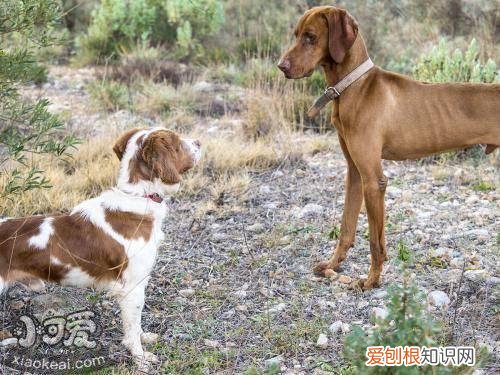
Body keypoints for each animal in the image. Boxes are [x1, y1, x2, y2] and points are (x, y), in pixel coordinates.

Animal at [0, 129, 201, 368]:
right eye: (178, 142)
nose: (199, 142)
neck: (138, 197)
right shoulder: (132, 287)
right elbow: (132, 327)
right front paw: (140, 358)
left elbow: (137, 325)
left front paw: (145, 338)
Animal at [278, 5, 500, 290]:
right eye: (296, 35)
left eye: (310, 37)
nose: (281, 67)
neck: (353, 86)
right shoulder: (355, 173)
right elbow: (346, 227)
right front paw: (332, 266)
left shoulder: (374, 181)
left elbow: (375, 241)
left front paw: (371, 280)